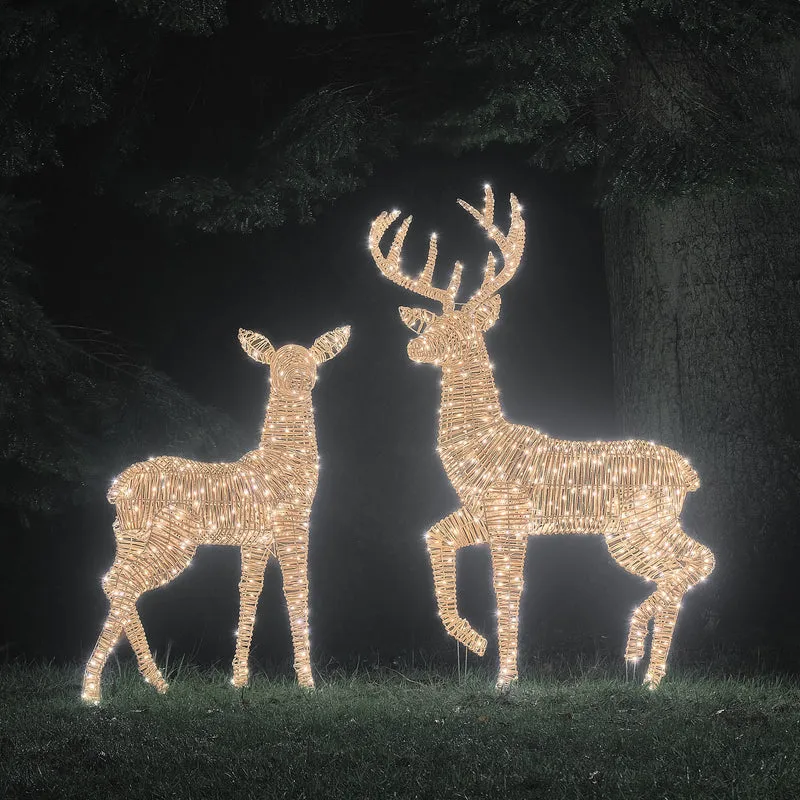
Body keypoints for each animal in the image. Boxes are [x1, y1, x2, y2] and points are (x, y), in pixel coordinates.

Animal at [82, 325, 350, 703]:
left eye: (313, 362)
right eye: (276, 366)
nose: (299, 378)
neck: (281, 461)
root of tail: (117, 487)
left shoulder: (255, 540)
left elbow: (249, 592)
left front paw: (239, 680)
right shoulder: (292, 524)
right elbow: (297, 591)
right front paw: (308, 683)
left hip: (130, 535)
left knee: (113, 580)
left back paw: (157, 681)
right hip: (172, 540)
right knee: (127, 582)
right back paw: (92, 692)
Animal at [369, 186, 715, 690]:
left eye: (462, 330)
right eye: (431, 324)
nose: (415, 347)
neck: (482, 443)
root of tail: (688, 472)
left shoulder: (510, 514)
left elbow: (508, 591)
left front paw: (505, 679)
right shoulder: (481, 514)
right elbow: (435, 538)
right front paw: (473, 641)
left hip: (641, 522)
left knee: (699, 560)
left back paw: (642, 657)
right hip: (632, 531)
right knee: (684, 566)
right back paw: (644, 666)